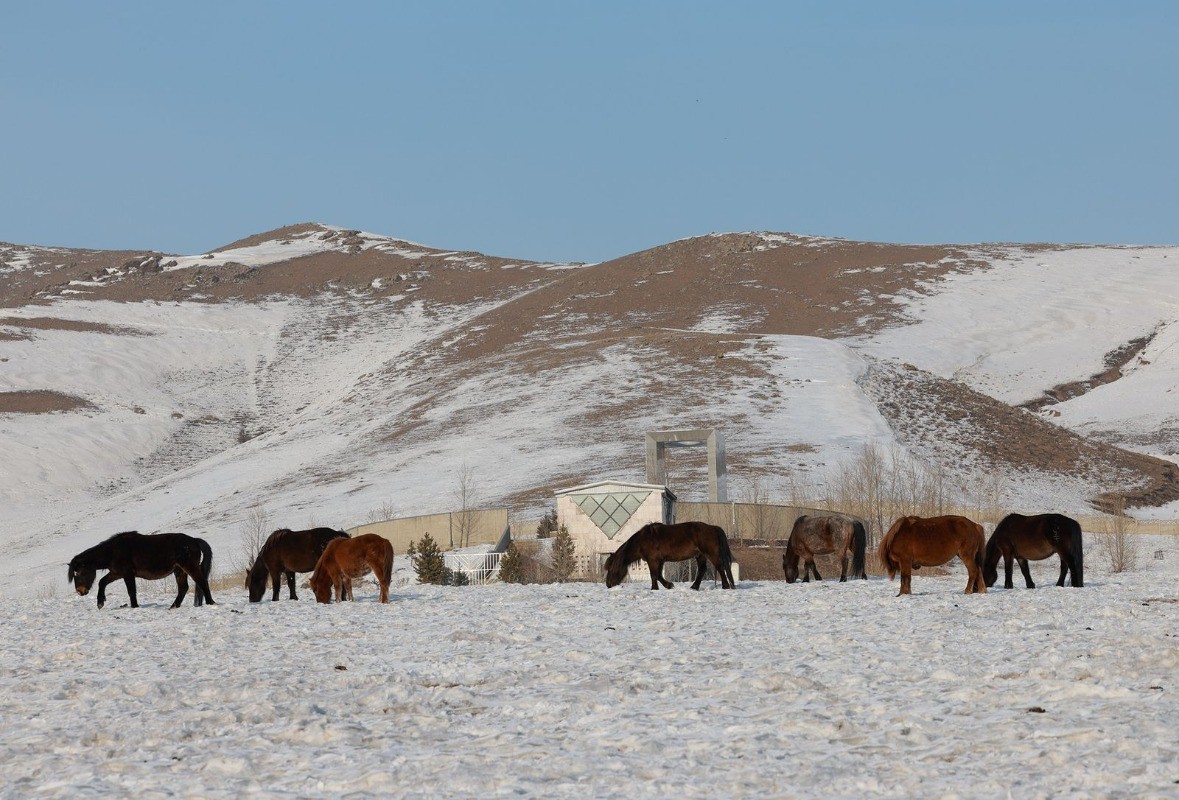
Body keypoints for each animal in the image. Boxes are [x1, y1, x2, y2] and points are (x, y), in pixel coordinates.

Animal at [68, 532, 216, 607]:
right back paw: (173, 606)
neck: (113, 551)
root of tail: (194, 540)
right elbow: (102, 582)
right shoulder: (116, 573)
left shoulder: (127, 573)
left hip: (189, 566)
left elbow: (131, 591)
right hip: (179, 570)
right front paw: (100, 602)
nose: (80, 591)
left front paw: (135, 606)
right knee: (183, 588)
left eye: (78, 571)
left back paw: (210, 603)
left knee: (202, 582)